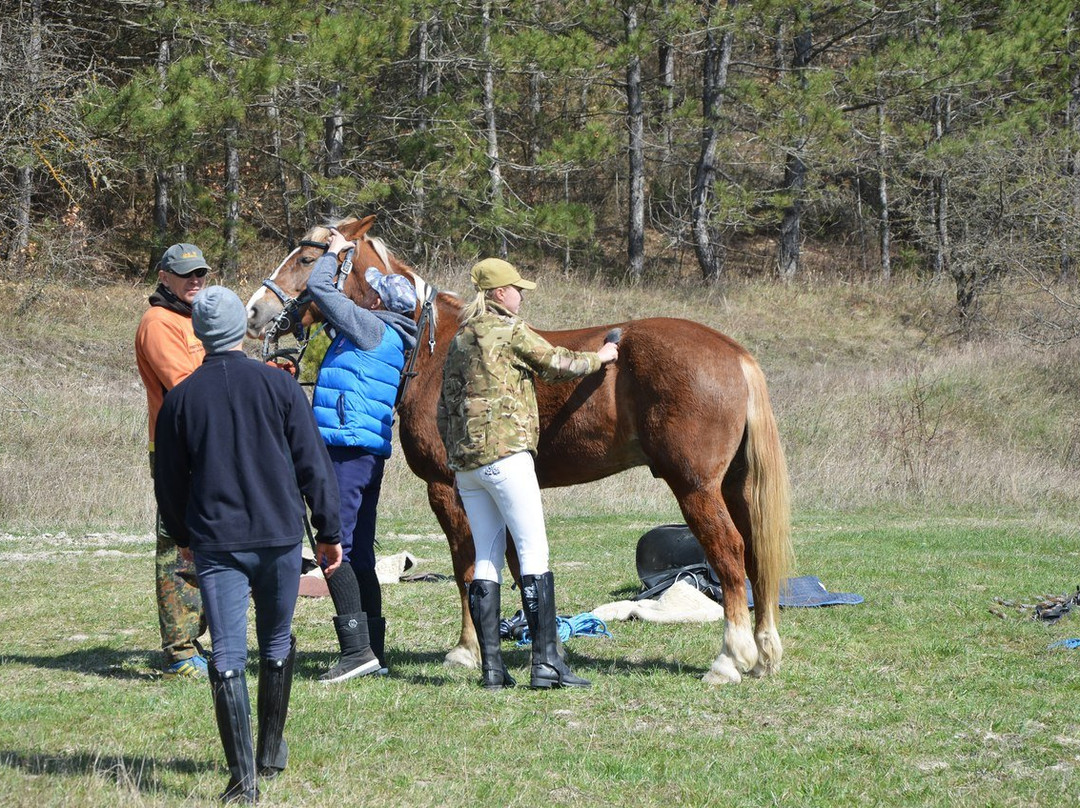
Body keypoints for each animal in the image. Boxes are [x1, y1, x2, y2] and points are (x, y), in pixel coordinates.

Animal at [248, 218, 799, 687]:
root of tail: (734, 353)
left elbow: (468, 568)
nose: (256, 312)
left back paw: (729, 658)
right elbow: (514, 566)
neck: (430, 347)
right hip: (734, 487)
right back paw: (764, 653)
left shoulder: (448, 489)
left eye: (308, 257)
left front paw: (466, 650)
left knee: (730, 555)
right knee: (756, 558)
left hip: (696, 488)